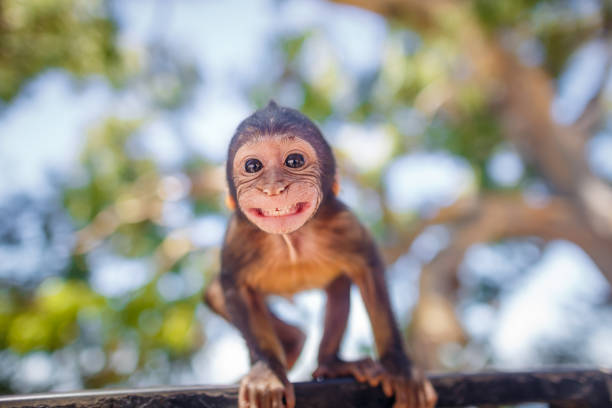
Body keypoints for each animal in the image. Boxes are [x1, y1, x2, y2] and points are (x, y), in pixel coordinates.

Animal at [206, 102, 436, 408]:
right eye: (253, 166)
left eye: (294, 161)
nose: (274, 188)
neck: (291, 240)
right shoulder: (237, 238)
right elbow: (235, 286)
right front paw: (267, 372)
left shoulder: (343, 222)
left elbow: (369, 272)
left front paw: (400, 367)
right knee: (216, 293)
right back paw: (291, 342)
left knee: (339, 286)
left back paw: (331, 363)